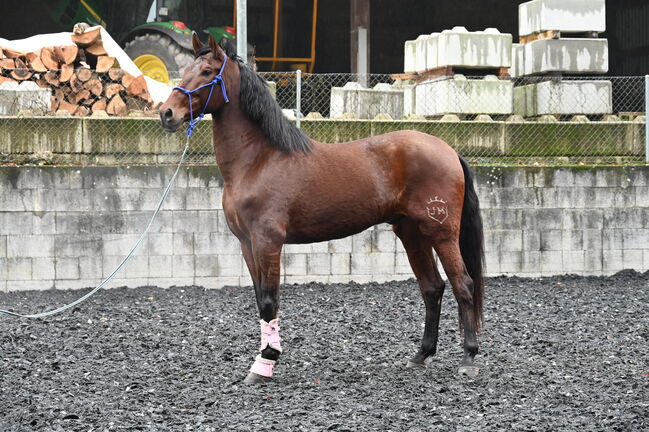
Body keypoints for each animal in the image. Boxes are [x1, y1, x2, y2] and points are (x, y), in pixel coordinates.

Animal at [159, 34, 484, 384]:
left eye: (207, 71)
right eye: (186, 69)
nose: (166, 113)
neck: (259, 160)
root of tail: (448, 150)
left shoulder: (268, 242)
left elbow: (270, 301)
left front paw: (265, 363)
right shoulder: (247, 244)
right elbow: (260, 299)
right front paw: (264, 358)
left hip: (441, 232)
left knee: (463, 284)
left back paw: (468, 357)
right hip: (412, 233)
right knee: (432, 288)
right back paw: (421, 355)